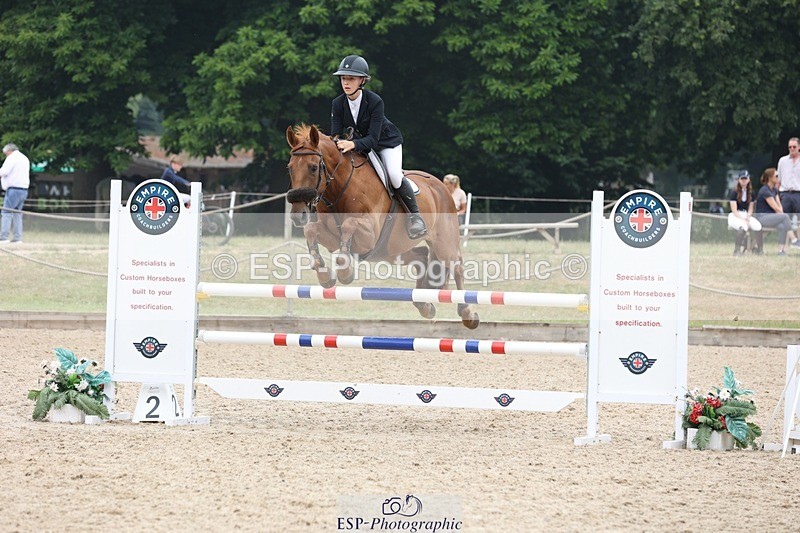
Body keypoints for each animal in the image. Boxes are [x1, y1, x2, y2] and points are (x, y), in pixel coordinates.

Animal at [285, 124, 479, 329]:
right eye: (290, 168)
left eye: (313, 167)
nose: (298, 214)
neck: (340, 188)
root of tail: (440, 186)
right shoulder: (331, 239)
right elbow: (311, 230)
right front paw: (324, 275)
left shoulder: (369, 236)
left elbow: (348, 224)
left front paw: (345, 271)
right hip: (392, 250)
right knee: (421, 257)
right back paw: (424, 305)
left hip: (443, 243)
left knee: (456, 265)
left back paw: (467, 313)